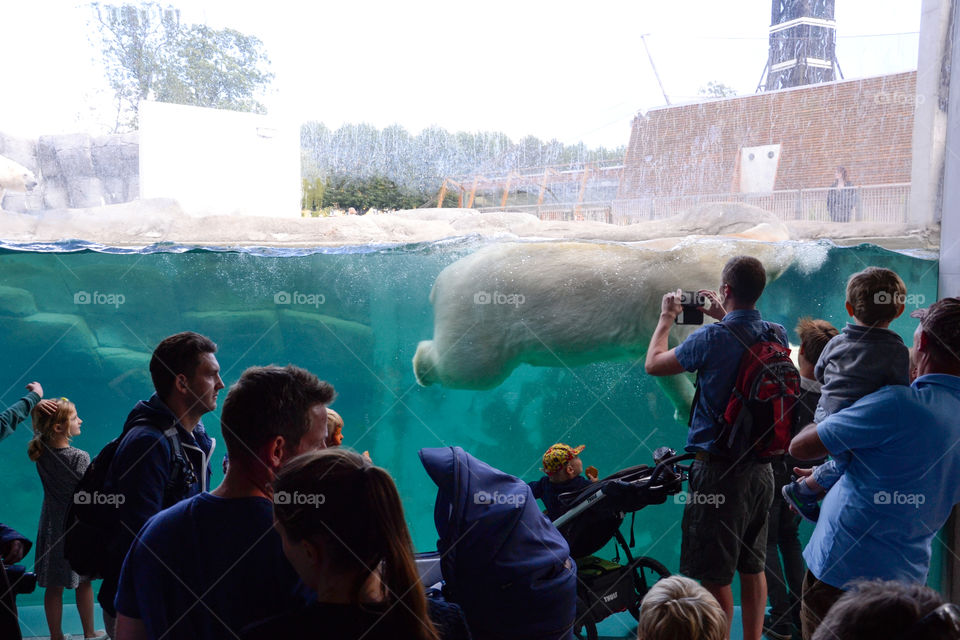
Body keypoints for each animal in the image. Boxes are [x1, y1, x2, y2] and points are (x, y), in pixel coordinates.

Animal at [412, 238, 796, 418]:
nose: (789, 255)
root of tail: (440, 282)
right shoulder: (693, 288)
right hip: (480, 315)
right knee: (468, 366)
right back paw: (421, 366)